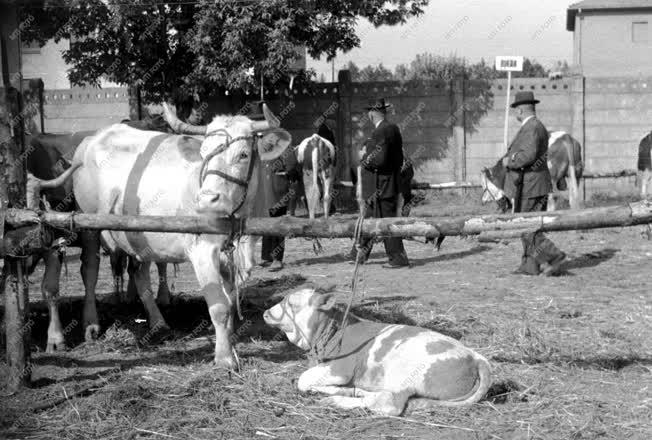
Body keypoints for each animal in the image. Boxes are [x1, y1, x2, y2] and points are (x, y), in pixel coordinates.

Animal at [262, 288, 492, 416]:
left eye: (292, 303)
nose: (265, 312)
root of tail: (475, 357)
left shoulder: (341, 367)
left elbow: (302, 379)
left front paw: (332, 391)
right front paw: (339, 389)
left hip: (404, 375)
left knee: (389, 404)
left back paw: (336, 400)